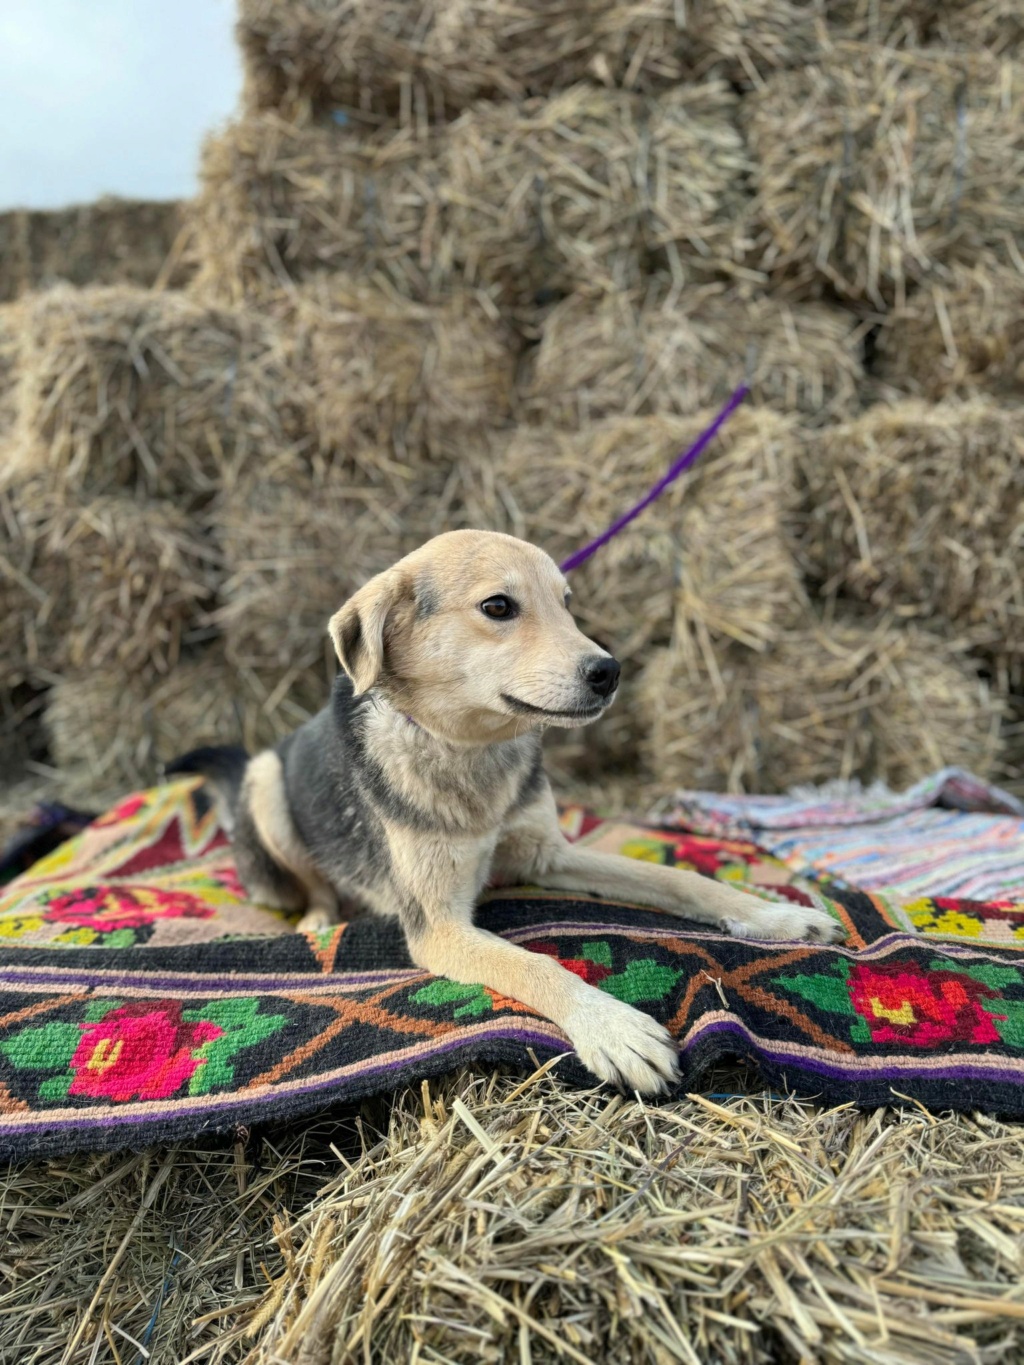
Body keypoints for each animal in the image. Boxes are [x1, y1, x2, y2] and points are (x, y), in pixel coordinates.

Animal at [172, 526, 846, 1092]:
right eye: (498, 607)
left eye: (567, 603)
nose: (610, 671)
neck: (472, 753)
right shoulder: (439, 926)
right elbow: (536, 966)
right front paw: (613, 1027)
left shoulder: (547, 855)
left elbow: (677, 878)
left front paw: (772, 914)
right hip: (265, 781)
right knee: (305, 879)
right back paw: (317, 918)